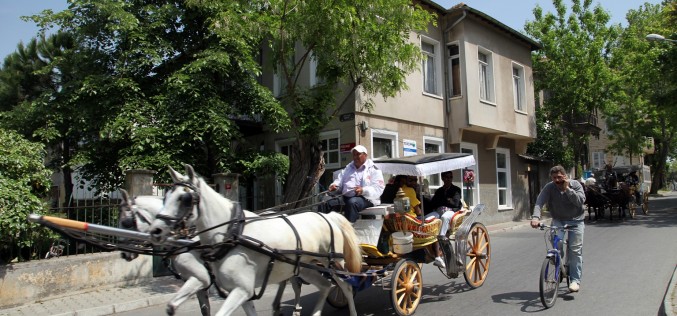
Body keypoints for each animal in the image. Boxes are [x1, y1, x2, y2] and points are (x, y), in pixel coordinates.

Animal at [147, 165, 360, 316]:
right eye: (166, 196)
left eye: (185, 199)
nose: (156, 231)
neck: (231, 235)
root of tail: (328, 216)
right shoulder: (241, 291)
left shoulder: (239, 289)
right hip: (305, 267)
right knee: (325, 286)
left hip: (334, 263)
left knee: (347, 287)